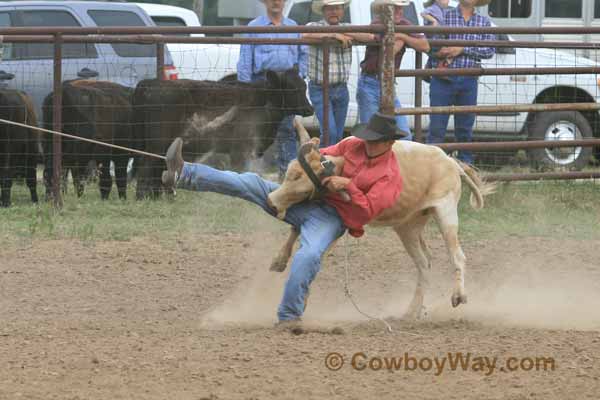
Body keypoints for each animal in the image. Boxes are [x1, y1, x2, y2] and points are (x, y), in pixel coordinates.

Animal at [132, 69, 314, 200]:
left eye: (304, 87)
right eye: (293, 89)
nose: (309, 109)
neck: (263, 100)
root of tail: (151, 83)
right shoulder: (240, 150)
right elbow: (239, 172)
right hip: (157, 142)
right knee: (147, 164)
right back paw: (143, 197)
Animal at [268, 120, 496, 320]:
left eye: (302, 186)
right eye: (289, 173)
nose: (271, 203)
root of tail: (450, 162)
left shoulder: (343, 220)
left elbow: (317, 254)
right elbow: (295, 230)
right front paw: (279, 260)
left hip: (445, 211)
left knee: (457, 256)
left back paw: (458, 295)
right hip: (408, 226)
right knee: (424, 263)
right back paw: (413, 312)